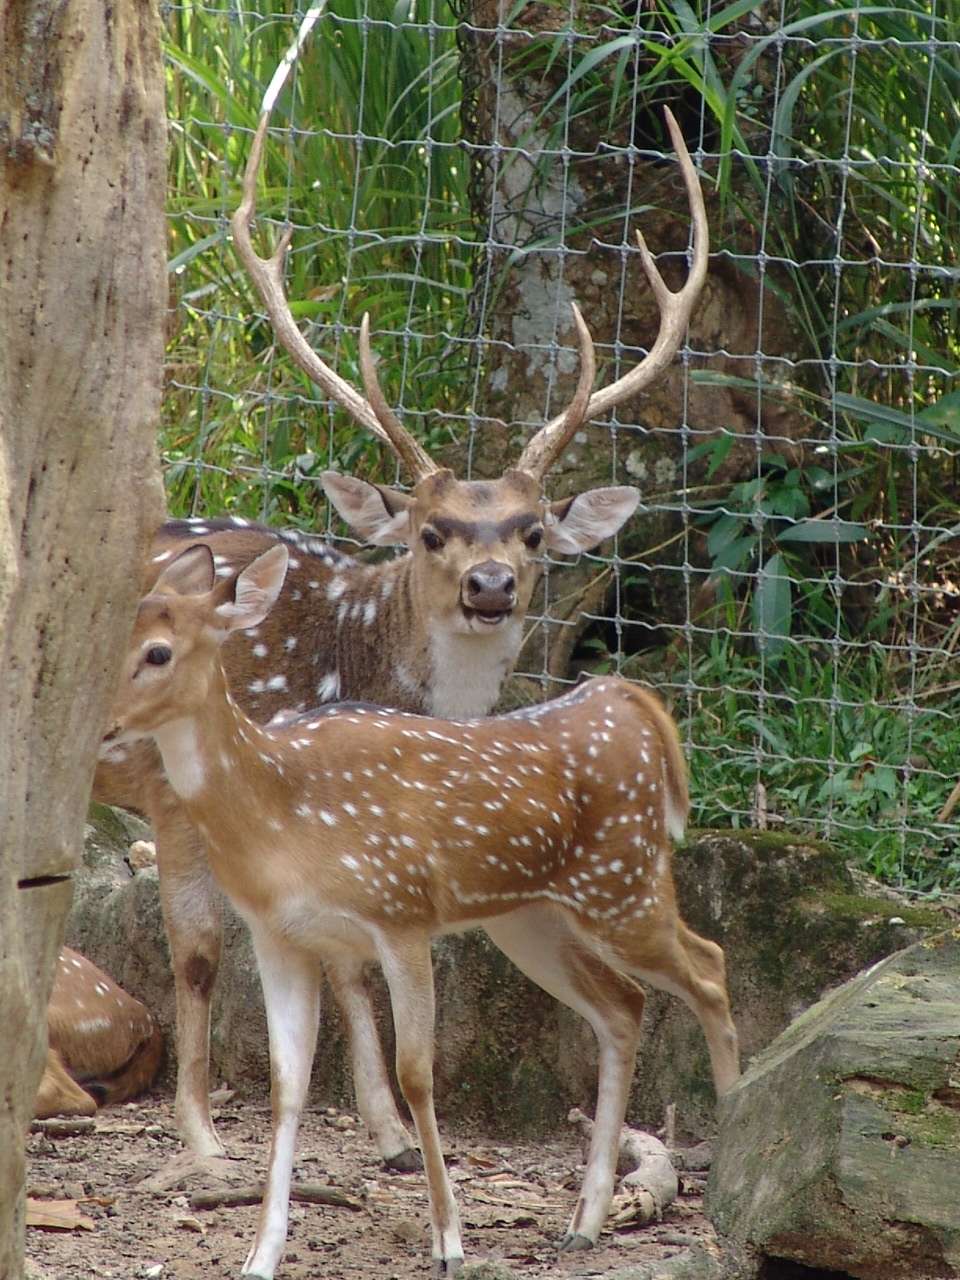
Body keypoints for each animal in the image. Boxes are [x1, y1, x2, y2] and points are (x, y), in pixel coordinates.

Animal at [91, 104, 708, 1167]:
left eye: (533, 531)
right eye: (430, 531)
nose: (490, 587)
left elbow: (351, 963)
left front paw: (383, 1128)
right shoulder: (175, 795)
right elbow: (203, 954)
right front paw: (203, 1138)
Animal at [103, 539, 739, 1278]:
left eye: (157, 652)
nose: (103, 725)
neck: (283, 818)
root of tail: (629, 698)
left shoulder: (399, 911)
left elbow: (416, 1074)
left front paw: (451, 1241)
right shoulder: (279, 935)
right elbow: (288, 1085)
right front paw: (260, 1255)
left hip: (624, 881)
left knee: (708, 965)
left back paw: (733, 1147)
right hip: (530, 917)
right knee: (624, 1004)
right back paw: (584, 1223)